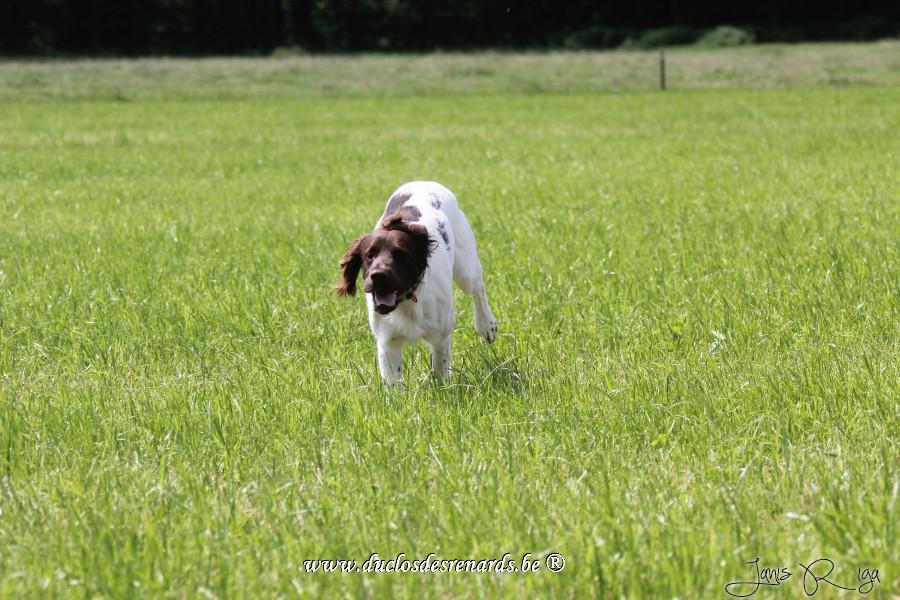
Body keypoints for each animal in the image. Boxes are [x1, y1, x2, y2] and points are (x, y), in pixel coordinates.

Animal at [334, 181, 498, 384]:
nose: (378, 276)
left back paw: (486, 325)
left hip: (465, 269)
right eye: (369, 255)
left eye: (400, 254)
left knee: (478, 289)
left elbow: (440, 372)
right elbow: (394, 383)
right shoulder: (388, 342)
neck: (407, 301)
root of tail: (425, 181)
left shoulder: (441, 337)